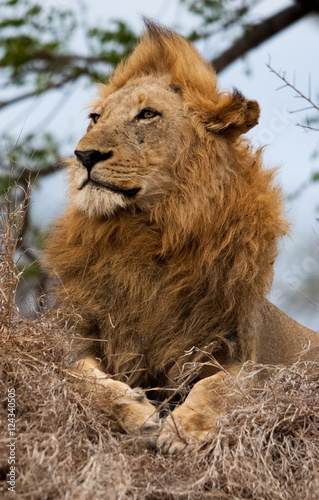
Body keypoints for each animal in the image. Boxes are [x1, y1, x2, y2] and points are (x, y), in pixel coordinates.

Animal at [43, 21, 319, 456]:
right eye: (95, 118)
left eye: (147, 115)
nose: (83, 155)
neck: (150, 231)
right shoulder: (80, 339)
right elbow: (81, 376)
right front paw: (136, 413)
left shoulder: (245, 358)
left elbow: (217, 387)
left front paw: (182, 428)